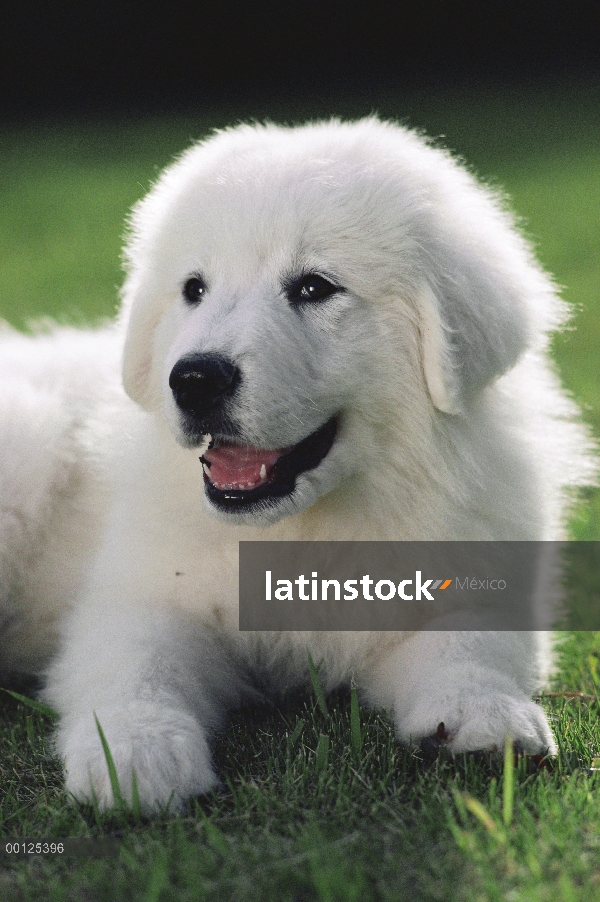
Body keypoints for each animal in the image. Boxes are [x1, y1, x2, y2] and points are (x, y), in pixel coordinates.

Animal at [0, 118, 592, 812]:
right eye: (194, 289)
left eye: (313, 287)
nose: (194, 380)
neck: (299, 530)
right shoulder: (144, 590)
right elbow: (134, 661)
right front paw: (136, 754)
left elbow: (471, 635)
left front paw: (484, 713)